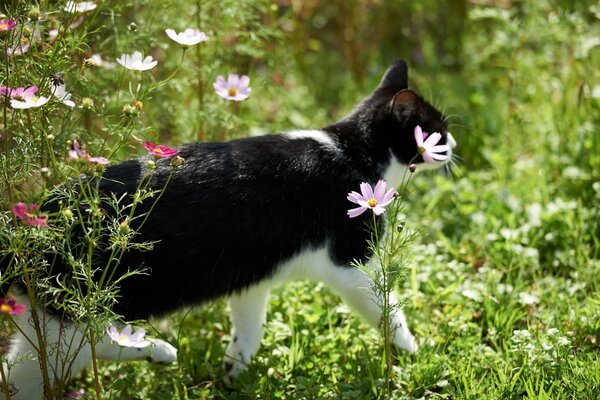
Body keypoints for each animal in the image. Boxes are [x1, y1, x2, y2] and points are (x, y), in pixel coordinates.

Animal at [0, 57, 458, 398]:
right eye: (438, 130)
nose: (453, 147)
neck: (353, 151)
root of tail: (27, 226)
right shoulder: (353, 265)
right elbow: (388, 312)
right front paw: (414, 353)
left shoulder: (251, 275)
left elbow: (249, 328)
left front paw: (234, 372)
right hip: (76, 312)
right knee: (81, 349)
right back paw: (158, 350)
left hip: (45, 323)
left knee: (17, 373)